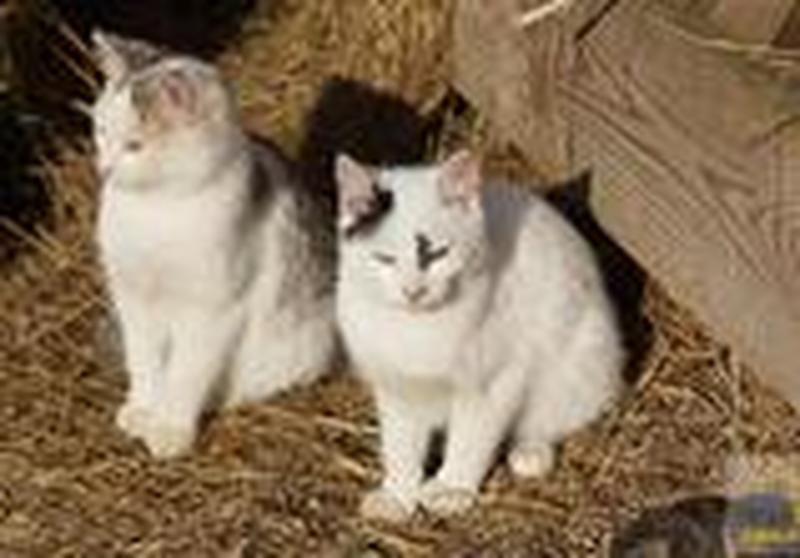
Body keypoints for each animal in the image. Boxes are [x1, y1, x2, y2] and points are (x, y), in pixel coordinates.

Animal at [92, 31, 337, 458]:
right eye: (100, 131)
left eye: (135, 146)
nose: (103, 170)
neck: (157, 209)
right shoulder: (133, 298)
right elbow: (143, 357)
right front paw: (144, 406)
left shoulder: (212, 309)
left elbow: (187, 370)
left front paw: (170, 425)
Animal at [335, 149, 624, 520]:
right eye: (384, 259)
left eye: (438, 254)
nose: (413, 291)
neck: (417, 327)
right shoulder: (396, 386)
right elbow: (400, 443)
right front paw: (398, 493)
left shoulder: (497, 381)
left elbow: (472, 438)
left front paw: (453, 488)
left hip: (583, 359)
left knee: (555, 415)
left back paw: (532, 450)